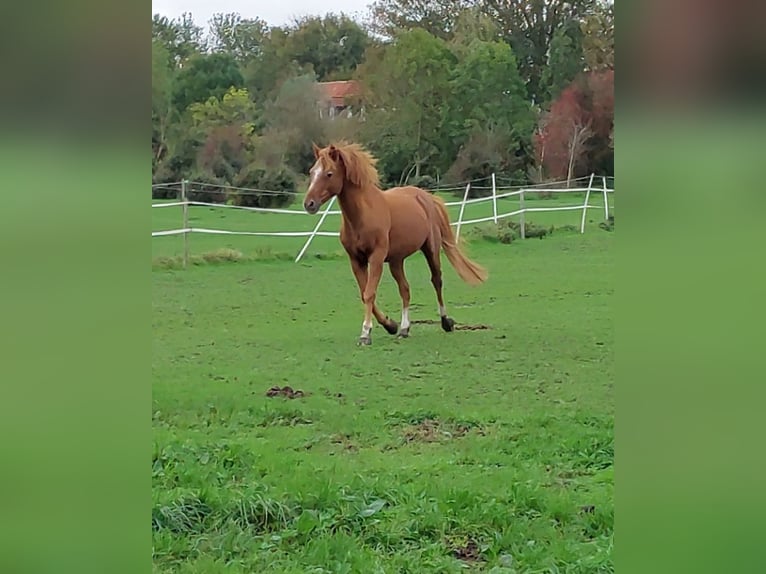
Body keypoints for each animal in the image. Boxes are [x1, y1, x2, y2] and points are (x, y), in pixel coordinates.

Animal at [304, 142, 488, 346]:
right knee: (405, 289)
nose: (309, 204)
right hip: (396, 261)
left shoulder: (376, 258)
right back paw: (404, 329)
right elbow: (365, 294)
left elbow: (369, 293)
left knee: (436, 281)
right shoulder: (356, 260)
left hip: (430, 250)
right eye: (312, 172)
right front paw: (390, 325)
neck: (363, 215)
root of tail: (426, 197)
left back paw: (446, 322)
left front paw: (365, 334)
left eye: (329, 173)